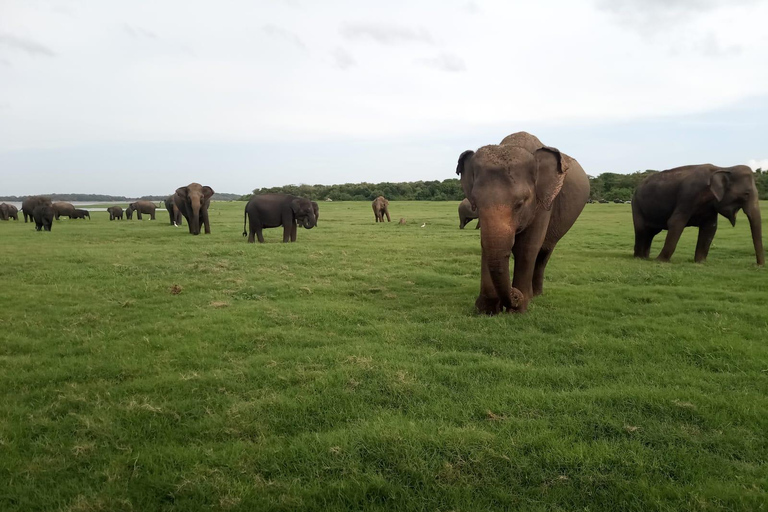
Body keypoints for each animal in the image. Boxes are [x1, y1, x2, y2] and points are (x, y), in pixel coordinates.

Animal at [456, 131, 588, 316]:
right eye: (476, 202)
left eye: (520, 204)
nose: (514, 295)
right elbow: (486, 245)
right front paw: (487, 310)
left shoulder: (543, 203)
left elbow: (526, 247)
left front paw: (518, 310)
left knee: (544, 252)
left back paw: (535, 295)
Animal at [632, 164, 760, 266]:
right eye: (746, 194)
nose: (758, 265)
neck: (723, 168)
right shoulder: (688, 195)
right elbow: (675, 222)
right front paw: (660, 261)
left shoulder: (710, 208)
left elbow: (710, 228)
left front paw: (700, 262)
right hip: (636, 205)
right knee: (641, 229)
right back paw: (639, 258)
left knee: (650, 232)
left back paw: (645, 257)